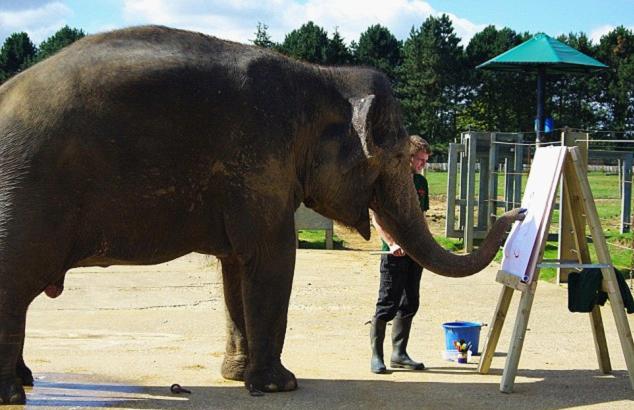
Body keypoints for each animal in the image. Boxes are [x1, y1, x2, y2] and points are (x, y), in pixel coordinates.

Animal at [0, 24, 524, 404]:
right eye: (397, 158)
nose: (518, 213)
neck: (320, 75)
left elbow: (236, 266)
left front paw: (237, 377)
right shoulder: (260, 162)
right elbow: (273, 257)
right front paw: (280, 385)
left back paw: (26, 380)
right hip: (26, 192)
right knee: (15, 280)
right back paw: (14, 393)